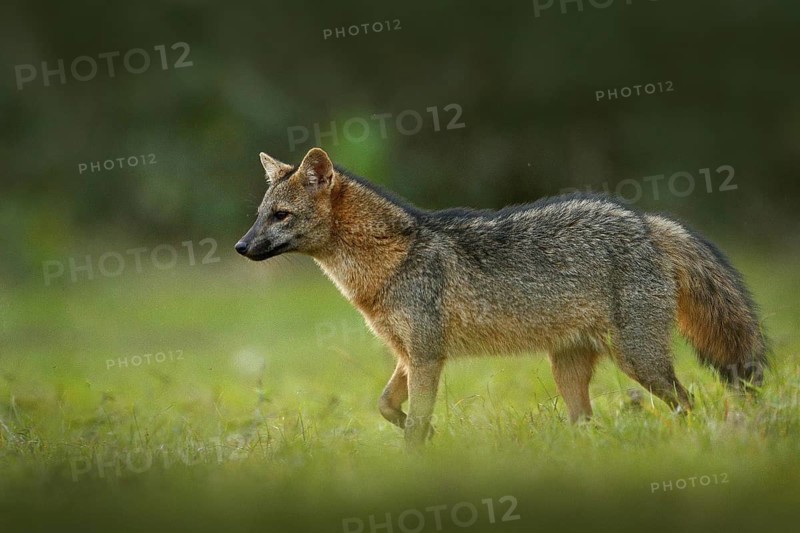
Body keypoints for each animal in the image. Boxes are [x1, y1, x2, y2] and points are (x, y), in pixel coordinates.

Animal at [235, 147, 767, 446]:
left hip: (640, 363)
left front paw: (416, 454)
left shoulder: (426, 357)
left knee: (689, 404)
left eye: (280, 216)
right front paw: (423, 431)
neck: (390, 261)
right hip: (570, 372)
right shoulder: (409, 355)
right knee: (588, 426)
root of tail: (645, 221)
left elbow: (411, 424)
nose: (240, 247)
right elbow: (386, 406)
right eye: (260, 215)